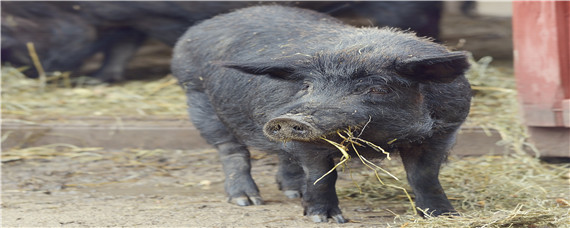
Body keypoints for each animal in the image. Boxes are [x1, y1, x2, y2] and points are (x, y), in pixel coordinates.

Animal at [171, 4, 468, 223]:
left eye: (377, 88)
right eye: (307, 86)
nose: (288, 118)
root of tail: (196, 31)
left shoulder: (445, 130)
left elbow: (425, 176)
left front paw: (444, 215)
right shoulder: (309, 144)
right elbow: (321, 176)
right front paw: (323, 219)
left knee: (282, 155)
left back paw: (292, 193)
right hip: (198, 98)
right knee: (232, 151)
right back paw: (247, 201)